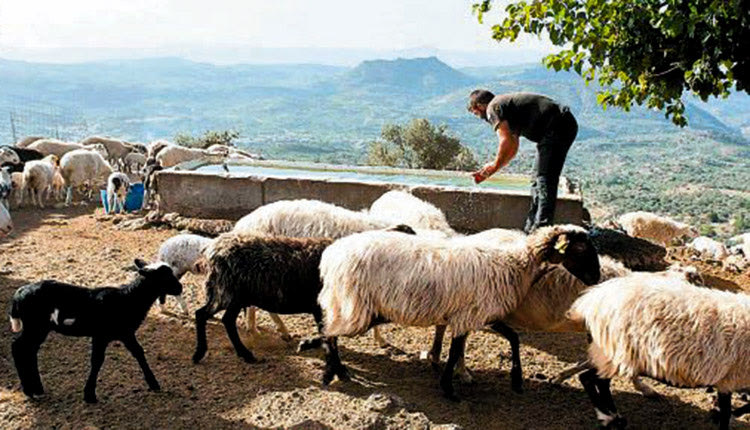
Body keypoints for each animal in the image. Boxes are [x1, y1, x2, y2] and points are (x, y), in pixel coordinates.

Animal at [308, 225, 604, 400]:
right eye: (581, 249)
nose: (597, 278)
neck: (516, 264)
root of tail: (331, 254)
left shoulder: (479, 316)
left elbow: (513, 339)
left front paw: (516, 380)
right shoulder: (470, 316)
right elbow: (454, 353)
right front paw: (449, 389)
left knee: (329, 330)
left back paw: (333, 368)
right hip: (353, 306)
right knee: (329, 333)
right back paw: (332, 372)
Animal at [568, 274, 750, 428]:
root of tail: (590, 300)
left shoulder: (731, 379)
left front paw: (720, 414)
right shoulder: (729, 379)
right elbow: (727, 413)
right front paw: (721, 416)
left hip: (612, 355)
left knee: (600, 381)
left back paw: (615, 417)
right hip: (616, 354)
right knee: (588, 379)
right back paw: (607, 418)